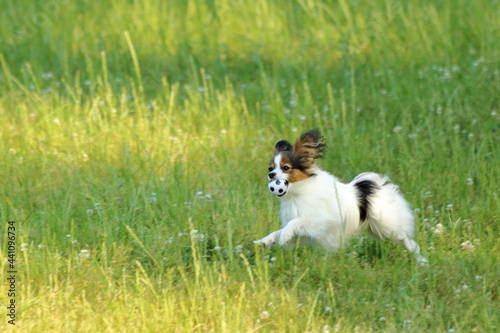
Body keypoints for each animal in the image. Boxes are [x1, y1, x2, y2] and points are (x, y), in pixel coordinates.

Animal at [256, 128, 428, 264]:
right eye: (270, 168)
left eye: (286, 168)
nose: (271, 175)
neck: (297, 193)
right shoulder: (305, 233)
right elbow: (279, 231)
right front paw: (265, 241)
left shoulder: (320, 221)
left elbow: (296, 223)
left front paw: (283, 236)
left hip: (386, 226)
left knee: (407, 241)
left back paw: (421, 261)